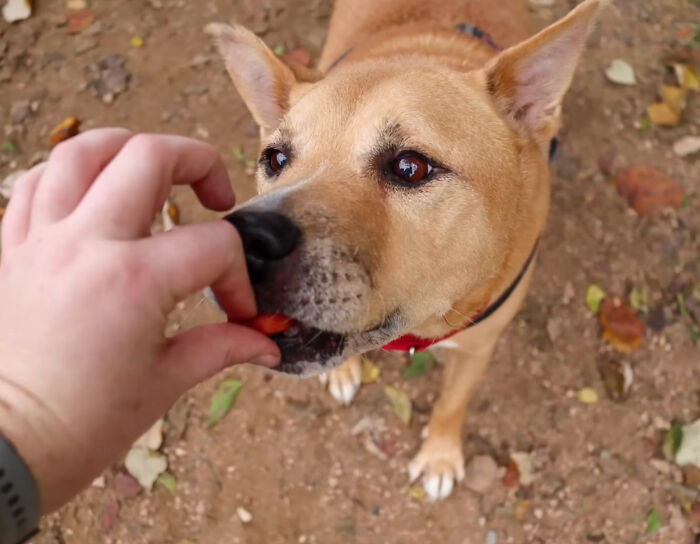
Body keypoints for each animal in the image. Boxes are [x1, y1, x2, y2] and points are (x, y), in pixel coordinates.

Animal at [205, 0, 604, 502]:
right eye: (275, 159)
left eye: (410, 167)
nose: (245, 240)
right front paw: (343, 373)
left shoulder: (479, 345)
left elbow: (452, 404)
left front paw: (439, 457)